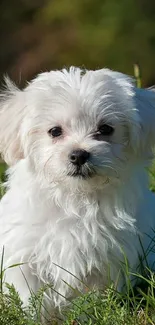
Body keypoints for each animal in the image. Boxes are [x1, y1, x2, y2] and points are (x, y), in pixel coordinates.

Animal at [0, 67, 155, 314]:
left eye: (105, 129)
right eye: (54, 131)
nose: (79, 155)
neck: (76, 198)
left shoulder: (107, 260)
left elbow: (93, 298)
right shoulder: (24, 254)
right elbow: (28, 295)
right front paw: (32, 315)